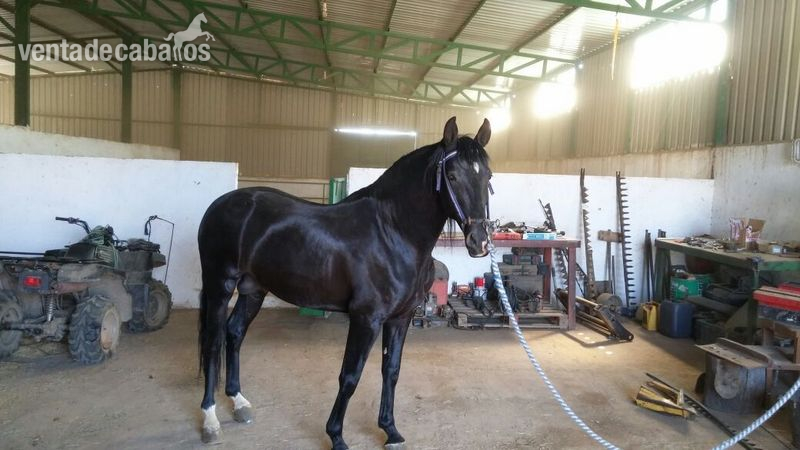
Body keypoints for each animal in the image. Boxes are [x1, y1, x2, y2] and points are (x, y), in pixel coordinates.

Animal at [197, 116, 493, 449]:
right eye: (452, 176)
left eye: (488, 176)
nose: (479, 242)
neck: (393, 232)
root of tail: (221, 204)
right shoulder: (366, 319)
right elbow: (350, 376)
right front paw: (336, 435)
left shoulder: (400, 319)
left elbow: (391, 371)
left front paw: (390, 431)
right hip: (220, 285)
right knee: (212, 342)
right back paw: (210, 419)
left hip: (253, 290)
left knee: (235, 333)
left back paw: (239, 403)